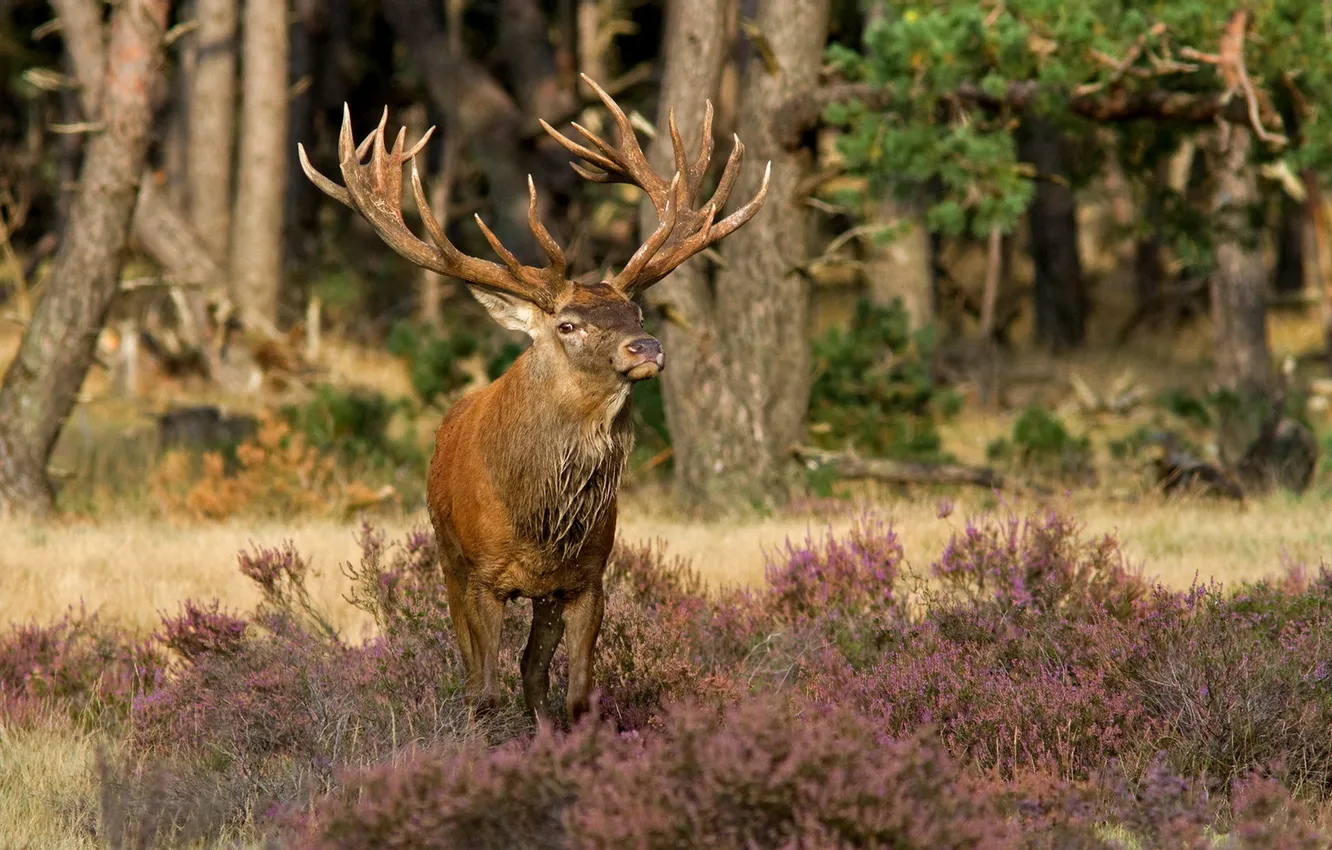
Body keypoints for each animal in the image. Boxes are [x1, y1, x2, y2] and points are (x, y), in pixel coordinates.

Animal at [297, 74, 770, 727]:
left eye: (636, 312)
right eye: (568, 324)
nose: (647, 347)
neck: (540, 522)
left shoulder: (587, 577)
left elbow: (575, 692)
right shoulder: (481, 576)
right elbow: (483, 690)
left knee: (532, 672)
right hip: (447, 557)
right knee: (475, 672)